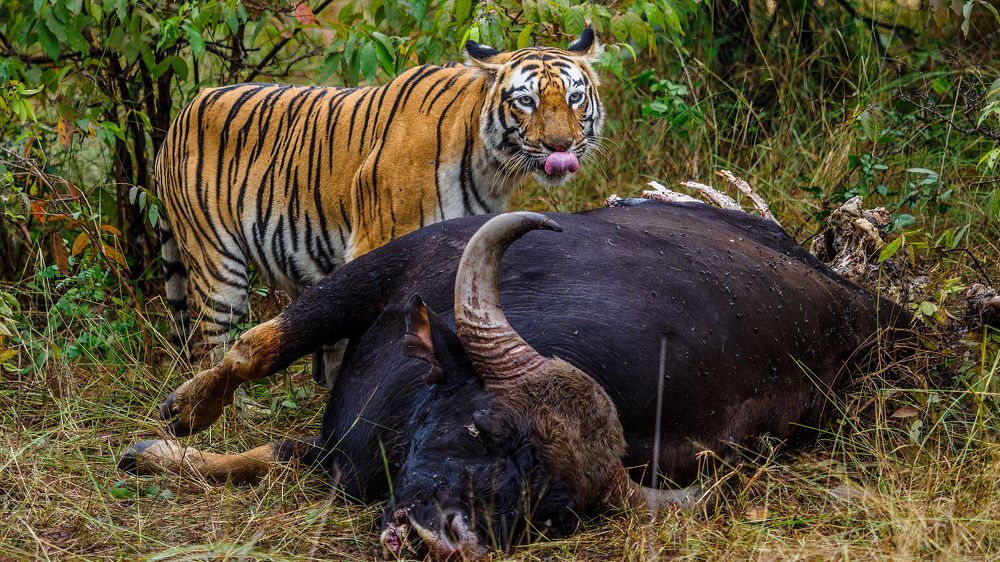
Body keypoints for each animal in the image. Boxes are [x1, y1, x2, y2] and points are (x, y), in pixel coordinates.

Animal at [155, 30, 604, 387]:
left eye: (575, 97)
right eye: (526, 101)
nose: (561, 146)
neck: (491, 167)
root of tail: (178, 116)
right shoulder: (377, 241)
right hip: (217, 268)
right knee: (209, 346)